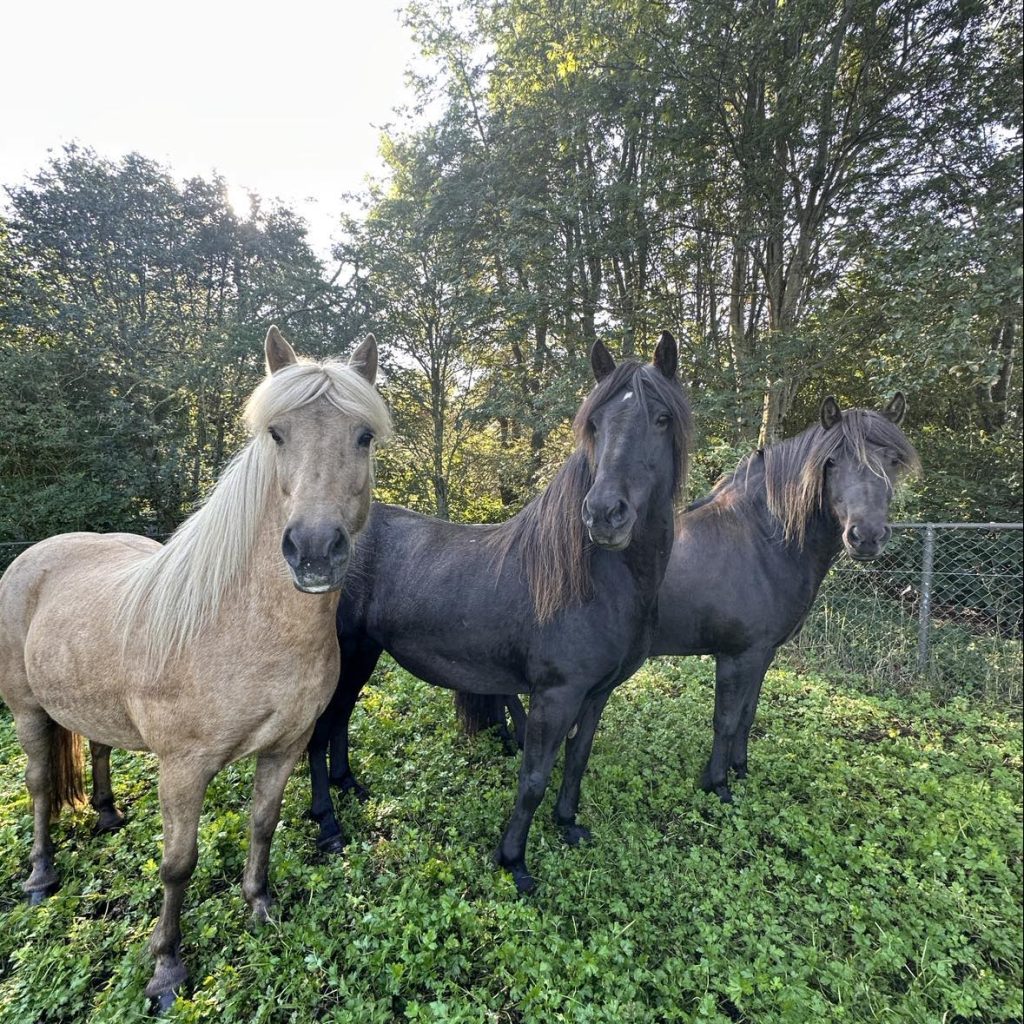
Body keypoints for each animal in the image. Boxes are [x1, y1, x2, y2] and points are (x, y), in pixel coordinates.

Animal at [0, 326, 390, 1010]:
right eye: (277, 434)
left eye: (363, 436)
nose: (314, 551)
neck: (242, 625)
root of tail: (34, 556)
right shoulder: (183, 769)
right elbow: (178, 863)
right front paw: (166, 970)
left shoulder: (285, 747)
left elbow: (263, 824)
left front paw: (260, 906)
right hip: (26, 712)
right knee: (41, 786)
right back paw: (41, 876)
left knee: (98, 748)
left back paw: (108, 815)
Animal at [307, 333, 690, 893]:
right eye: (595, 424)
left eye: (661, 419)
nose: (604, 514)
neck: (593, 580)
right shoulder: (555, 696)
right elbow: (533, 776)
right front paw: (515, 862)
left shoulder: (597, 694)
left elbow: (577, 760)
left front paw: (568, 825)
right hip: (346, 654)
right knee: (319, 732)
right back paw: (328, 824)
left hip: (364, 655)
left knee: (339, 721)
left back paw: (349, 787)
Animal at [455, 395, 920, 803]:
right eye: (832, 461)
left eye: (893, 461)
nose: (866, 536)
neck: (761, 541)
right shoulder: (737, 655)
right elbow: (726, 720)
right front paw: (717, 784)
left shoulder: (763, 654)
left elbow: (748, 714)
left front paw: (740, 769)